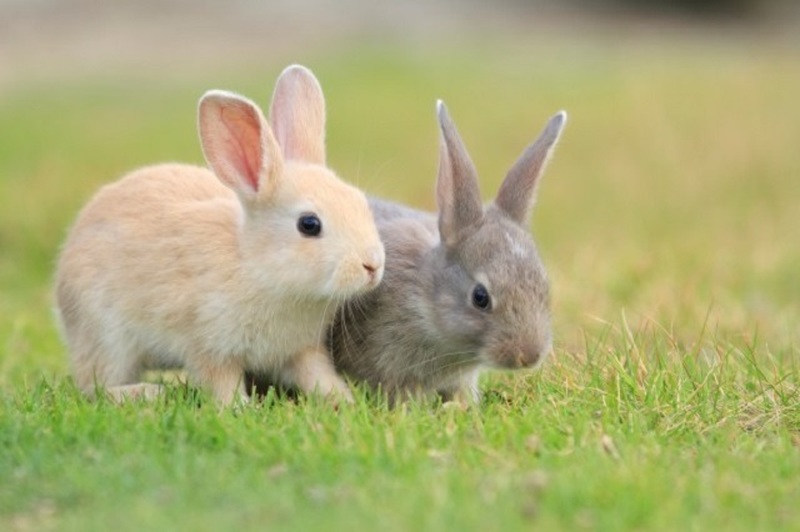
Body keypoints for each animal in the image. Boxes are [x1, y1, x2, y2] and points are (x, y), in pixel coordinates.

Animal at [53, 64, 384, 406]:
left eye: (360, 202)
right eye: (309, 224)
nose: (372, 266)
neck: (254, 265)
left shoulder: (299, 350)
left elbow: (317, 376)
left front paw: (345, 401)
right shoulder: (209, 347)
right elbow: (222, 382)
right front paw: (240, 408)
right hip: (106, 336)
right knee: (94, 383)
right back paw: (145, 392)